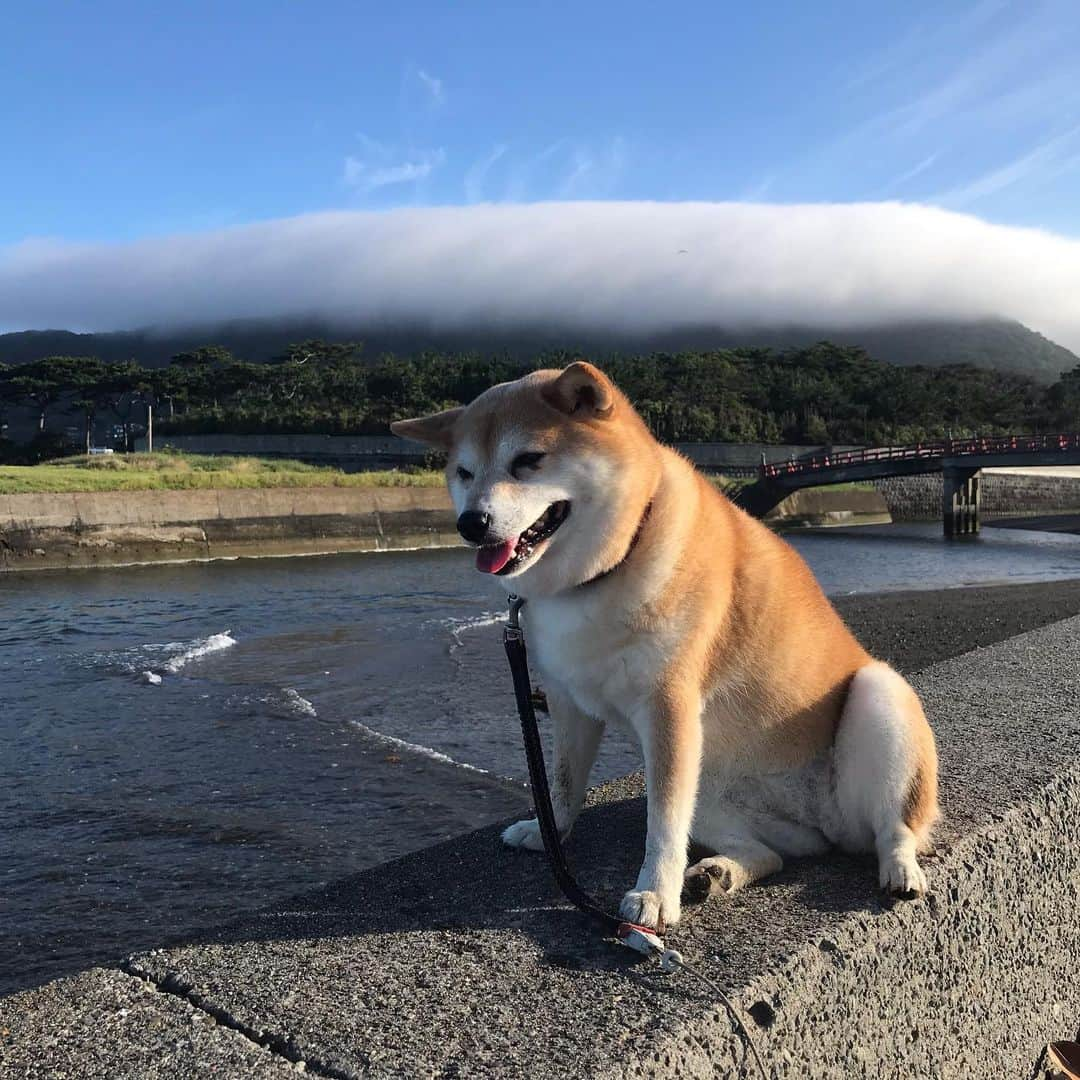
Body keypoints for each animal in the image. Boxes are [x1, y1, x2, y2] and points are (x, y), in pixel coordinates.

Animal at [393, 360, 941, 928]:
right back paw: (718, 873)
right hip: (713, 790)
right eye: (464, 473)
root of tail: (825, 828)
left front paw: (655, 893)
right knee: (769, 854)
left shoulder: (669, 708)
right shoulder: (570, 703)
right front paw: (550, 834)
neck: (604, 570)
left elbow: (661, 826)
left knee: (893, 827)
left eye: (527, 461)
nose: (470, 523)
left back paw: (899, 869)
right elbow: (562, 782)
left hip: (878, 698)